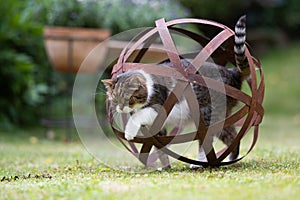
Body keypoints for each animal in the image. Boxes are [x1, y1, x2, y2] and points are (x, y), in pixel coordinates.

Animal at [102, 16, 248, 169]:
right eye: (114, 99)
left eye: (127, 98)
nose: (120, 108)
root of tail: (231, 73)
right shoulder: (158, 129)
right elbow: (160, 148)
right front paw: (165, 167)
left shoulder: (159, 108)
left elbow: (139, 115)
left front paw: (129, 132)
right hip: (221, 117)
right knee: (232, 136)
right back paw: (227, 160)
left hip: (207, 113)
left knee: (206, 140)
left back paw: (198, 163)